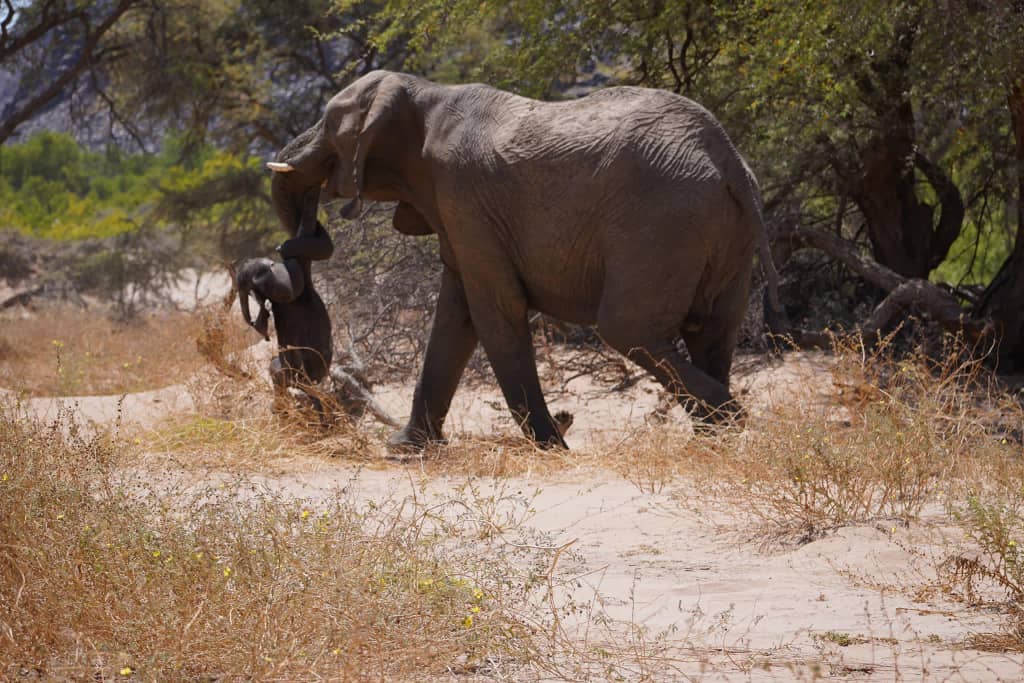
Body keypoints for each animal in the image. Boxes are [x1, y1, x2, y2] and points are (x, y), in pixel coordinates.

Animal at [268, 70, 778, 454]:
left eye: (327, 120)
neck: (423, 93)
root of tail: (729, 160)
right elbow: (455, 314)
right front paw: (406, 449)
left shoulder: (464, 195)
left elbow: (494, 310)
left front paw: (552, 448)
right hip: (723, 232)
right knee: (712, 329)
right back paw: (714, 440)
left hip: (664, 220)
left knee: (626, 327)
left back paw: (731, 419)